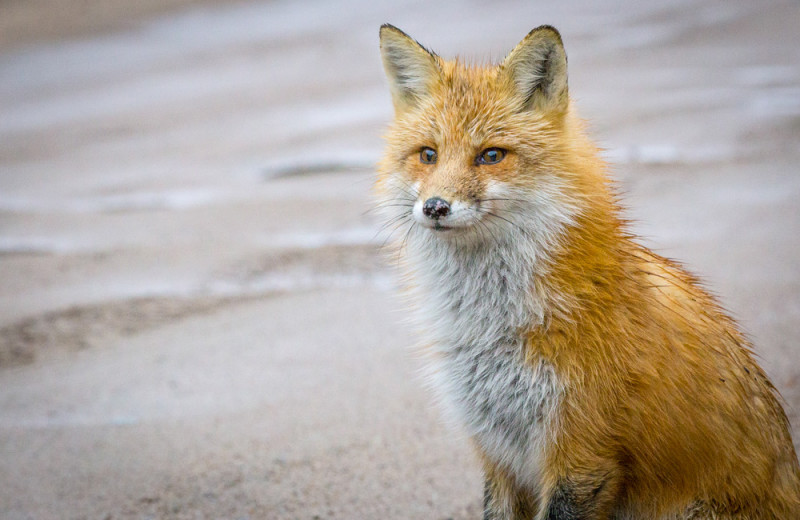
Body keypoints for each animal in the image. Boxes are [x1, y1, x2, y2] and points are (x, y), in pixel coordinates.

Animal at [376, 22, 800, 516]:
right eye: (428, 155)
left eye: (491, 155)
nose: (435, 207)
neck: (495, 330)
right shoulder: (498, 454)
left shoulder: (581, 453)